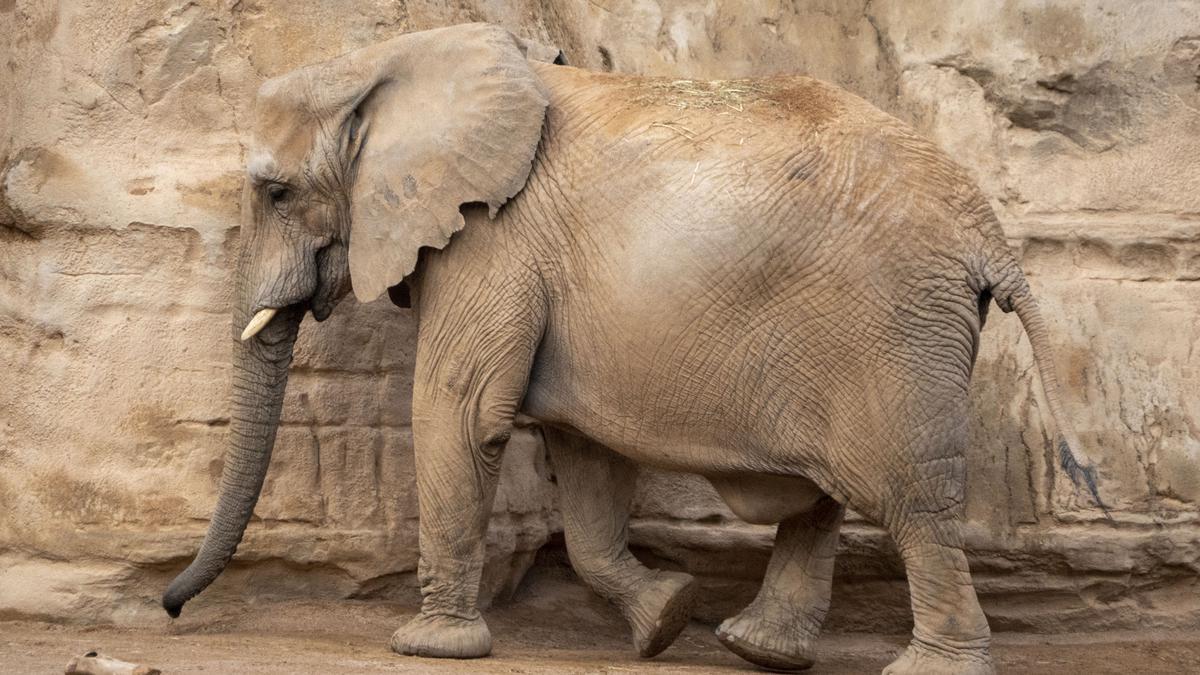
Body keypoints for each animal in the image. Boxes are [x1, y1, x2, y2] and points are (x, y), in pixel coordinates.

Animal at [162, 22, 1104, 672]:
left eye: (276, 193)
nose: (171, 610)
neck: (387, 61)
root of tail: (989, 234)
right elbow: (582, 459)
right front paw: (665, 619)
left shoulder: (492, 239)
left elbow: (461, 414)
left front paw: (427, 646)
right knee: (824, 499)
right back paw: (758, 649)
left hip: (895, 332)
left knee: (912, 500)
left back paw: (924, 666)